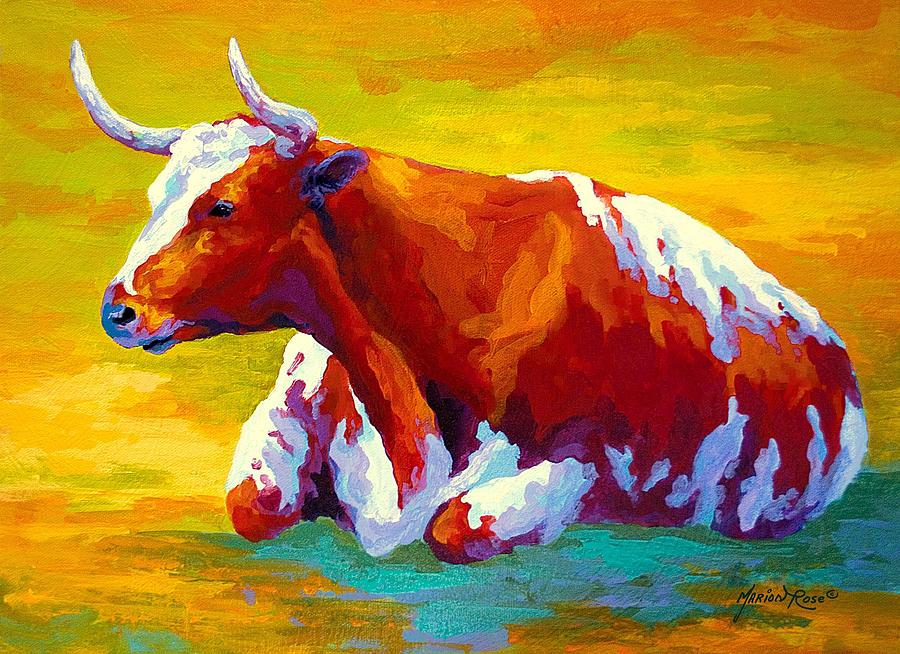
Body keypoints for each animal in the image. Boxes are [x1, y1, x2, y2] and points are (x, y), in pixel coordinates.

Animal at [71, 39, 868, 563]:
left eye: (224, 206)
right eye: (156, 195)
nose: (118, 308)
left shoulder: (579, 461)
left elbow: (458, 528)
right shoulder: (290, 403)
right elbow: (253, 503)